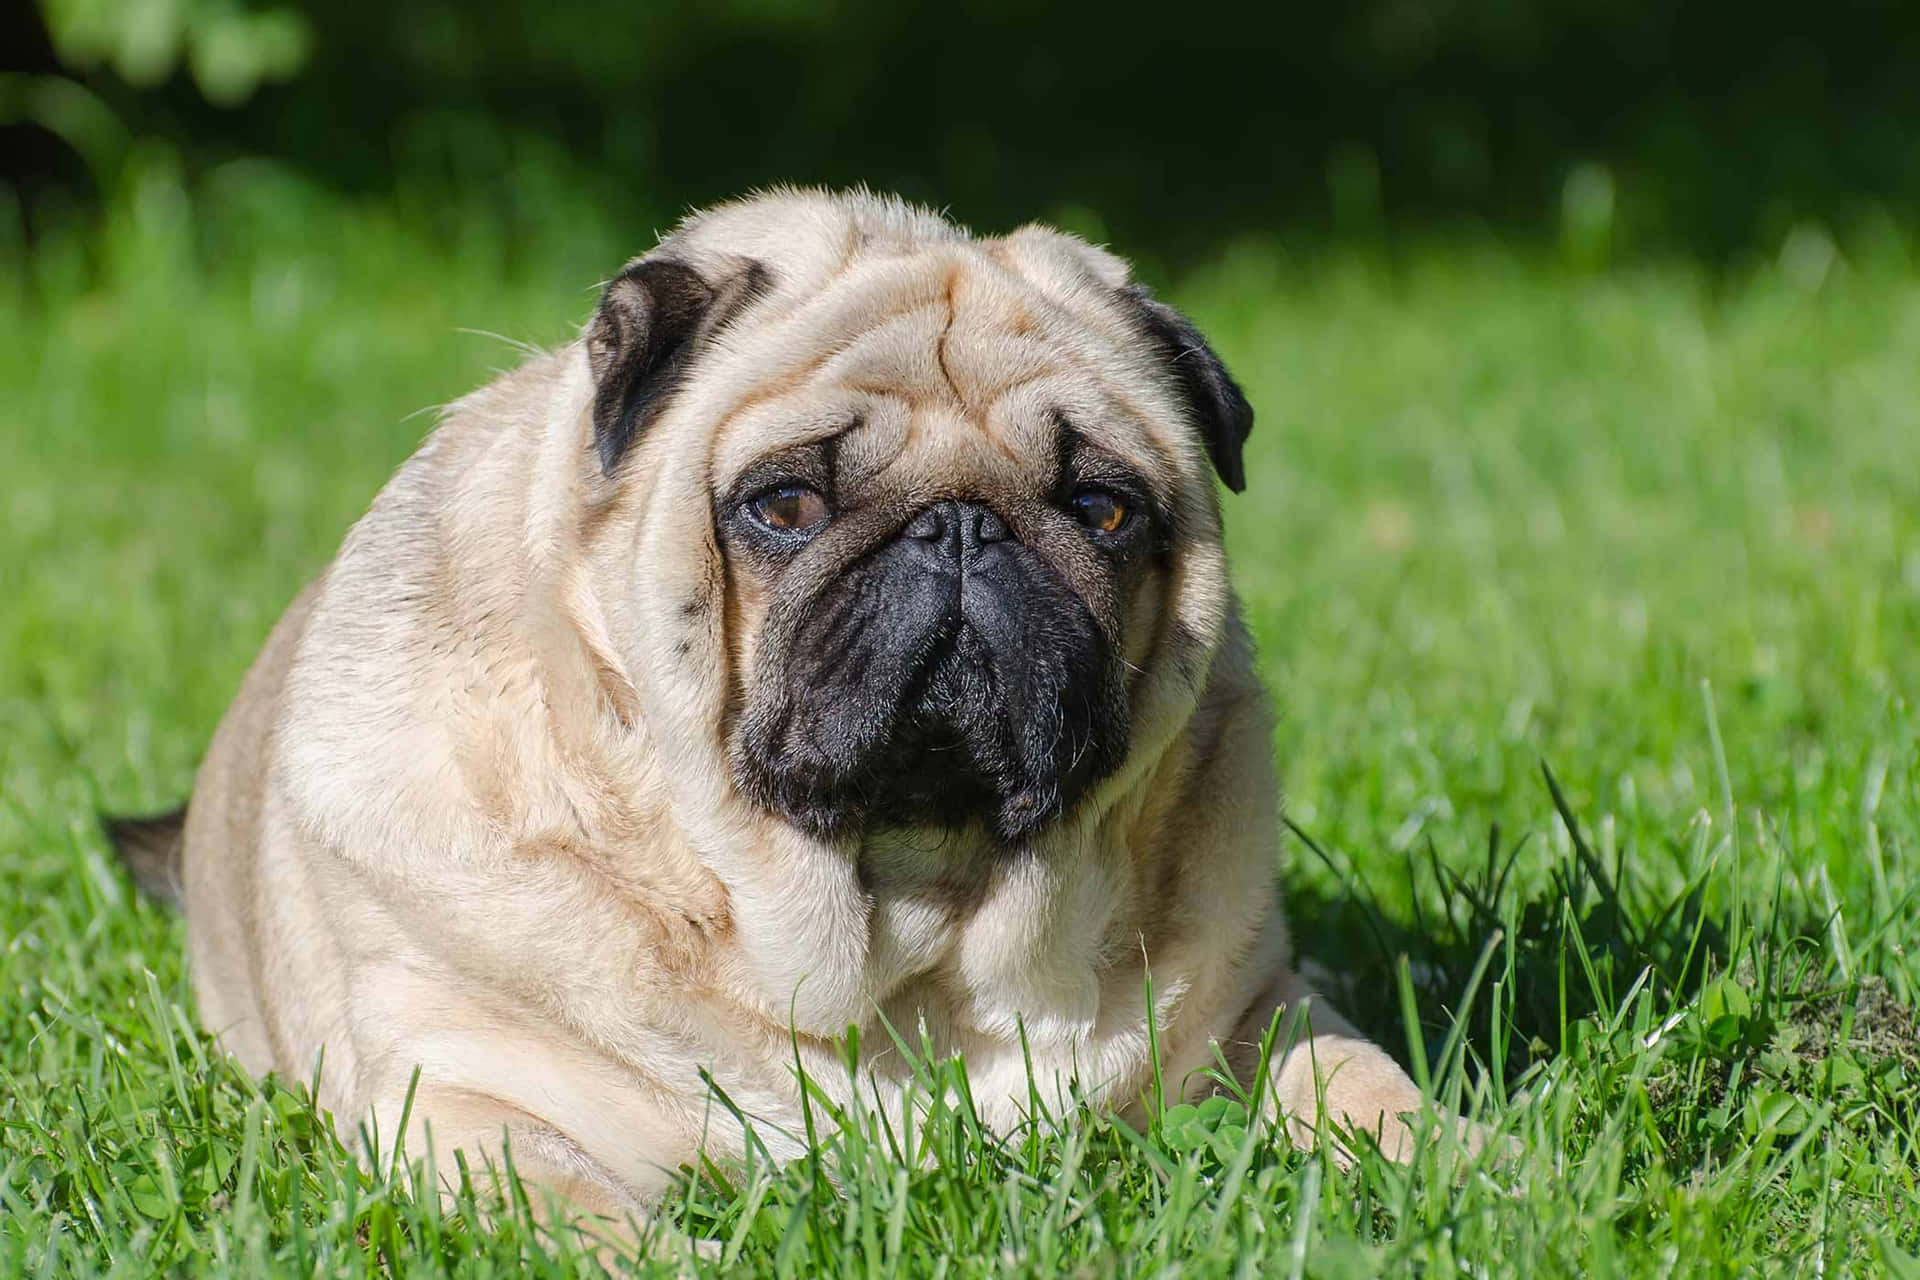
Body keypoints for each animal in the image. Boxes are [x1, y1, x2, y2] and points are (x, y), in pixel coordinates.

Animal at [105, 188, 1443, 1228]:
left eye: (1103, 509)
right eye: (785, 503)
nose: (962, 528)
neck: (900, 935)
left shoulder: (1263, 1020)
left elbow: (1368, 1089)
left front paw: (1468, 1164)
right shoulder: (468, 1099)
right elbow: (578, 1212)